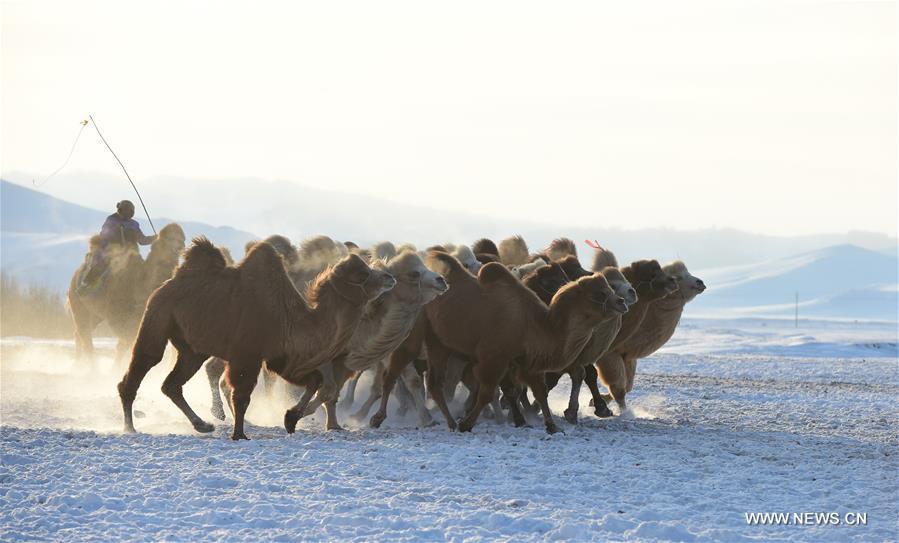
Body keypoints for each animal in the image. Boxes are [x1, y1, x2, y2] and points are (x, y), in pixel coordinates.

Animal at [68, 223, 186, 364]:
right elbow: (126, 342)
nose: (181, 245)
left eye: (182, 237)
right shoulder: (118, 315)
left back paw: (78, 364)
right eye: (170, 238)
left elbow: (124, 344)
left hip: (95, 315)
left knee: (79, 334)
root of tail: (75, 277)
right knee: (85, 336)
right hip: (79, 306)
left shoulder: (137, 316)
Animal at [118, 239, 396, 442]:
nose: (390, 277)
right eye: (364, 274)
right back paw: (129, 427)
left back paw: (202, 424)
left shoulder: (280, 357)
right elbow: (241, 396)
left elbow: (314, 380)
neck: (293, 320)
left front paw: (290, 418)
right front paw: (240, 434)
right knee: (141, 366)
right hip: (157, 317)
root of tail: (168, 282)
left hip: (192, 349)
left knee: (173, 384)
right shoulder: (247, 355)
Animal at [372, 253, 624, 436]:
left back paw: (450, 422)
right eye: (601, 294)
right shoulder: (494, 357)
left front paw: (552, 426)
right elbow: (487, 392)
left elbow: (538, 391)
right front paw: (468, 424)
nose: (621, 302)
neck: (533, 323)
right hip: (415, 336)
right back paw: (377, 418)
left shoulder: (523, 361)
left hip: (439, 344)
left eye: (609, 289)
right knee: (392, 374)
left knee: (435, 383)